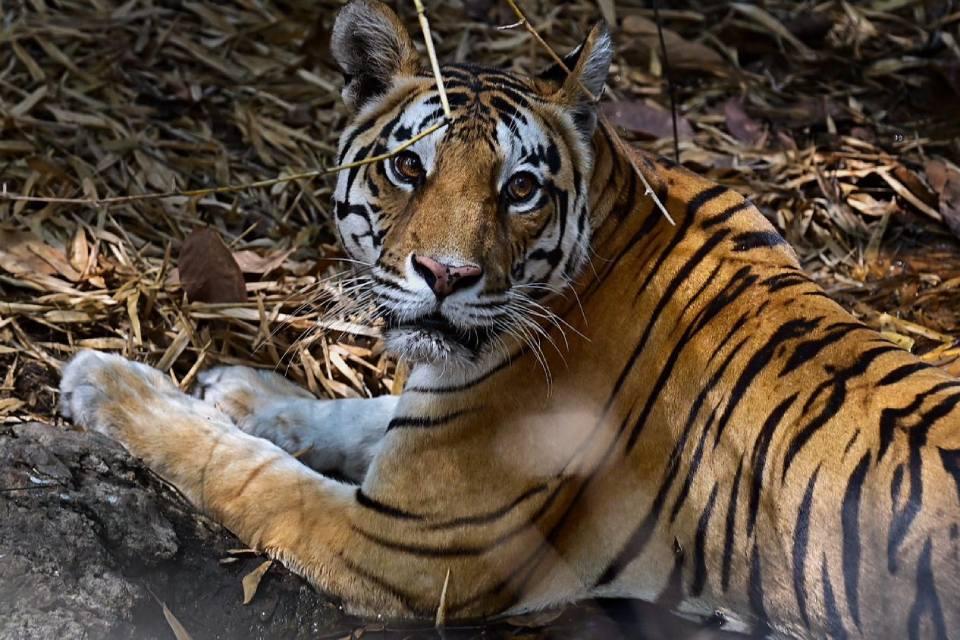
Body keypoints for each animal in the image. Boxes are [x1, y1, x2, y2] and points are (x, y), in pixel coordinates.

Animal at [58, 0, 960, 637]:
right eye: (408, 167)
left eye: (520, 187)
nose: (446, 276)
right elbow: (364, 411)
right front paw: (246, 391)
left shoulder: (410, 548)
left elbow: (244, 471)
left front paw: (111, 384)